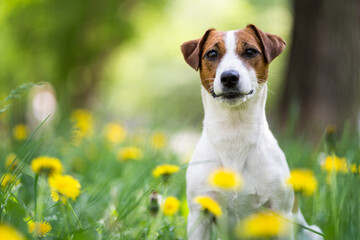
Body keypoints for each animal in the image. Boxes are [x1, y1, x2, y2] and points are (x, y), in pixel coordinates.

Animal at [181, 24, 322, 240]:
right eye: (212, 53)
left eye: (250, 51)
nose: (229, 77)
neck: (234, 133)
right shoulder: (200, 214)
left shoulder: (280, 212)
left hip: (313, 232)